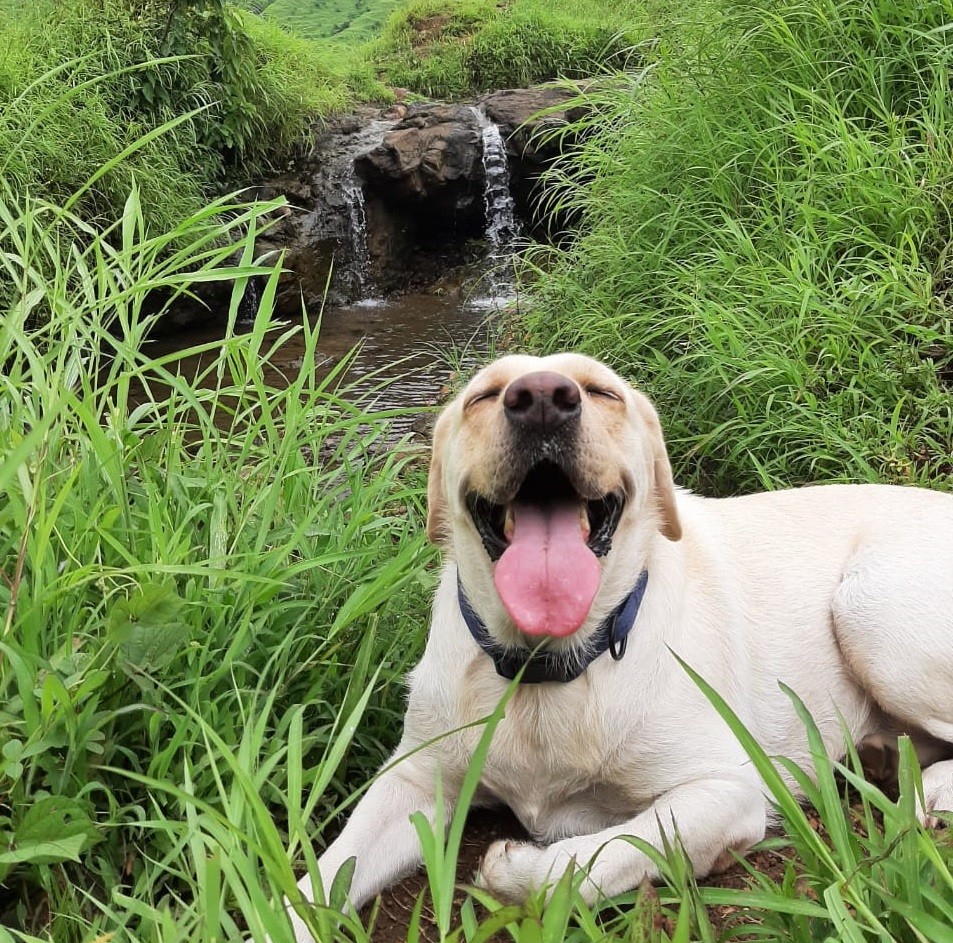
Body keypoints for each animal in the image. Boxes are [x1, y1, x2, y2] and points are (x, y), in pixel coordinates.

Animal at [284, 354, 952, 936]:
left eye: (602, 392)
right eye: (483, 396)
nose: (542, 399)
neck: (545, 668)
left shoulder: (725, 792)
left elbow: (588, 859)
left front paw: (513, 869)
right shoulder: (414, 779)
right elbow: (318, 880)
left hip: (870, 610)